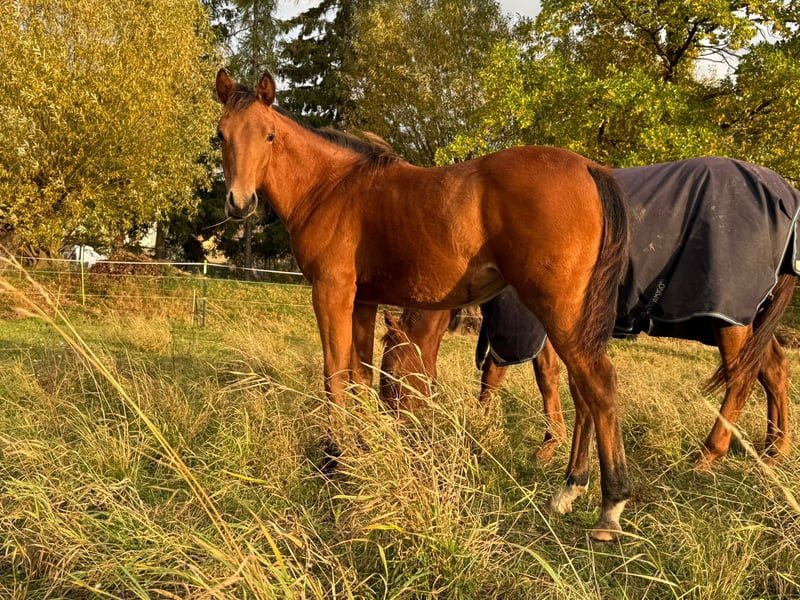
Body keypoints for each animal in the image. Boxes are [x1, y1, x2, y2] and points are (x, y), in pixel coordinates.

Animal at [215, 69, 630, 540]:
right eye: (221, 134)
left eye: (268, 135)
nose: (239, 203)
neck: (332, 187)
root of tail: (589, 167)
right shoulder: (363, 301)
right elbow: (360, 375)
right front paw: (366, 448)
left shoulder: (331, 291)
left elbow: (334, 374)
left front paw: (332, 459)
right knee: (583, 391)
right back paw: (569, 489)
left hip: (560, 312)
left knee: (598, 385)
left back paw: (608, 507)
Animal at [381, 157, 799, 510]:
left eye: (392, 374)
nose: (392, 428)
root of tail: (785, 193)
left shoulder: (529, 323)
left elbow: (525, 377)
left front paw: (515, 436)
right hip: (746, 319)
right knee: (773, 370)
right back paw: (773, 450)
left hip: (729, 318)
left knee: (742, 378)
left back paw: (709, 454)